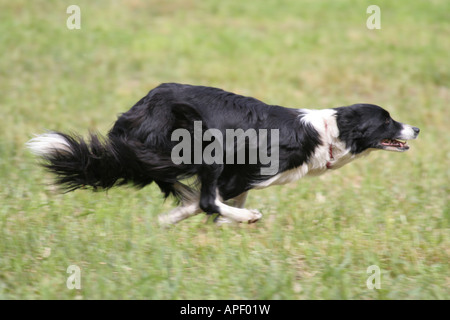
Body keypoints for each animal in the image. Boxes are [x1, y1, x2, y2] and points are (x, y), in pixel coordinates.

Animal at [27, 84, 418, 226]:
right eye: (387, 120)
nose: (415, 129)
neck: (329, 131)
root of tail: (138, 108)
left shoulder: (241, 180)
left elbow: (209, 202)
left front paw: (170, 220)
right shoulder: (241, 171)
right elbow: (209, 202)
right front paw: (239, 217)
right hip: (202, 143)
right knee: (204, 197)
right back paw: (246, 218)